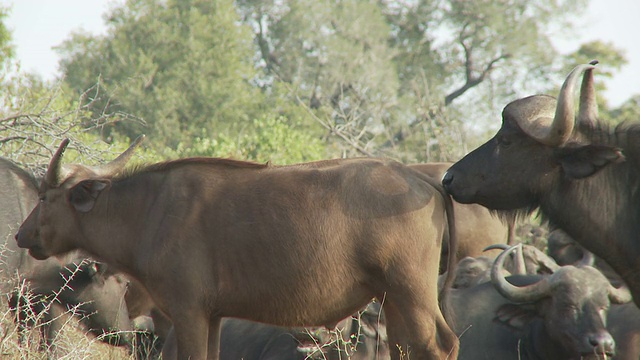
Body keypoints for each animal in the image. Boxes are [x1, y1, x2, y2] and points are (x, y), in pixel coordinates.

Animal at [15, 140, 460, 360]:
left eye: (44, 196)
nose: (21, 236)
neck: (150, 210)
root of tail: (421, 180)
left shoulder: (187, 313)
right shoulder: (212, 317)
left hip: (412, 292)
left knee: (441, 345)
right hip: (392, 299)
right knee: (408, 349)